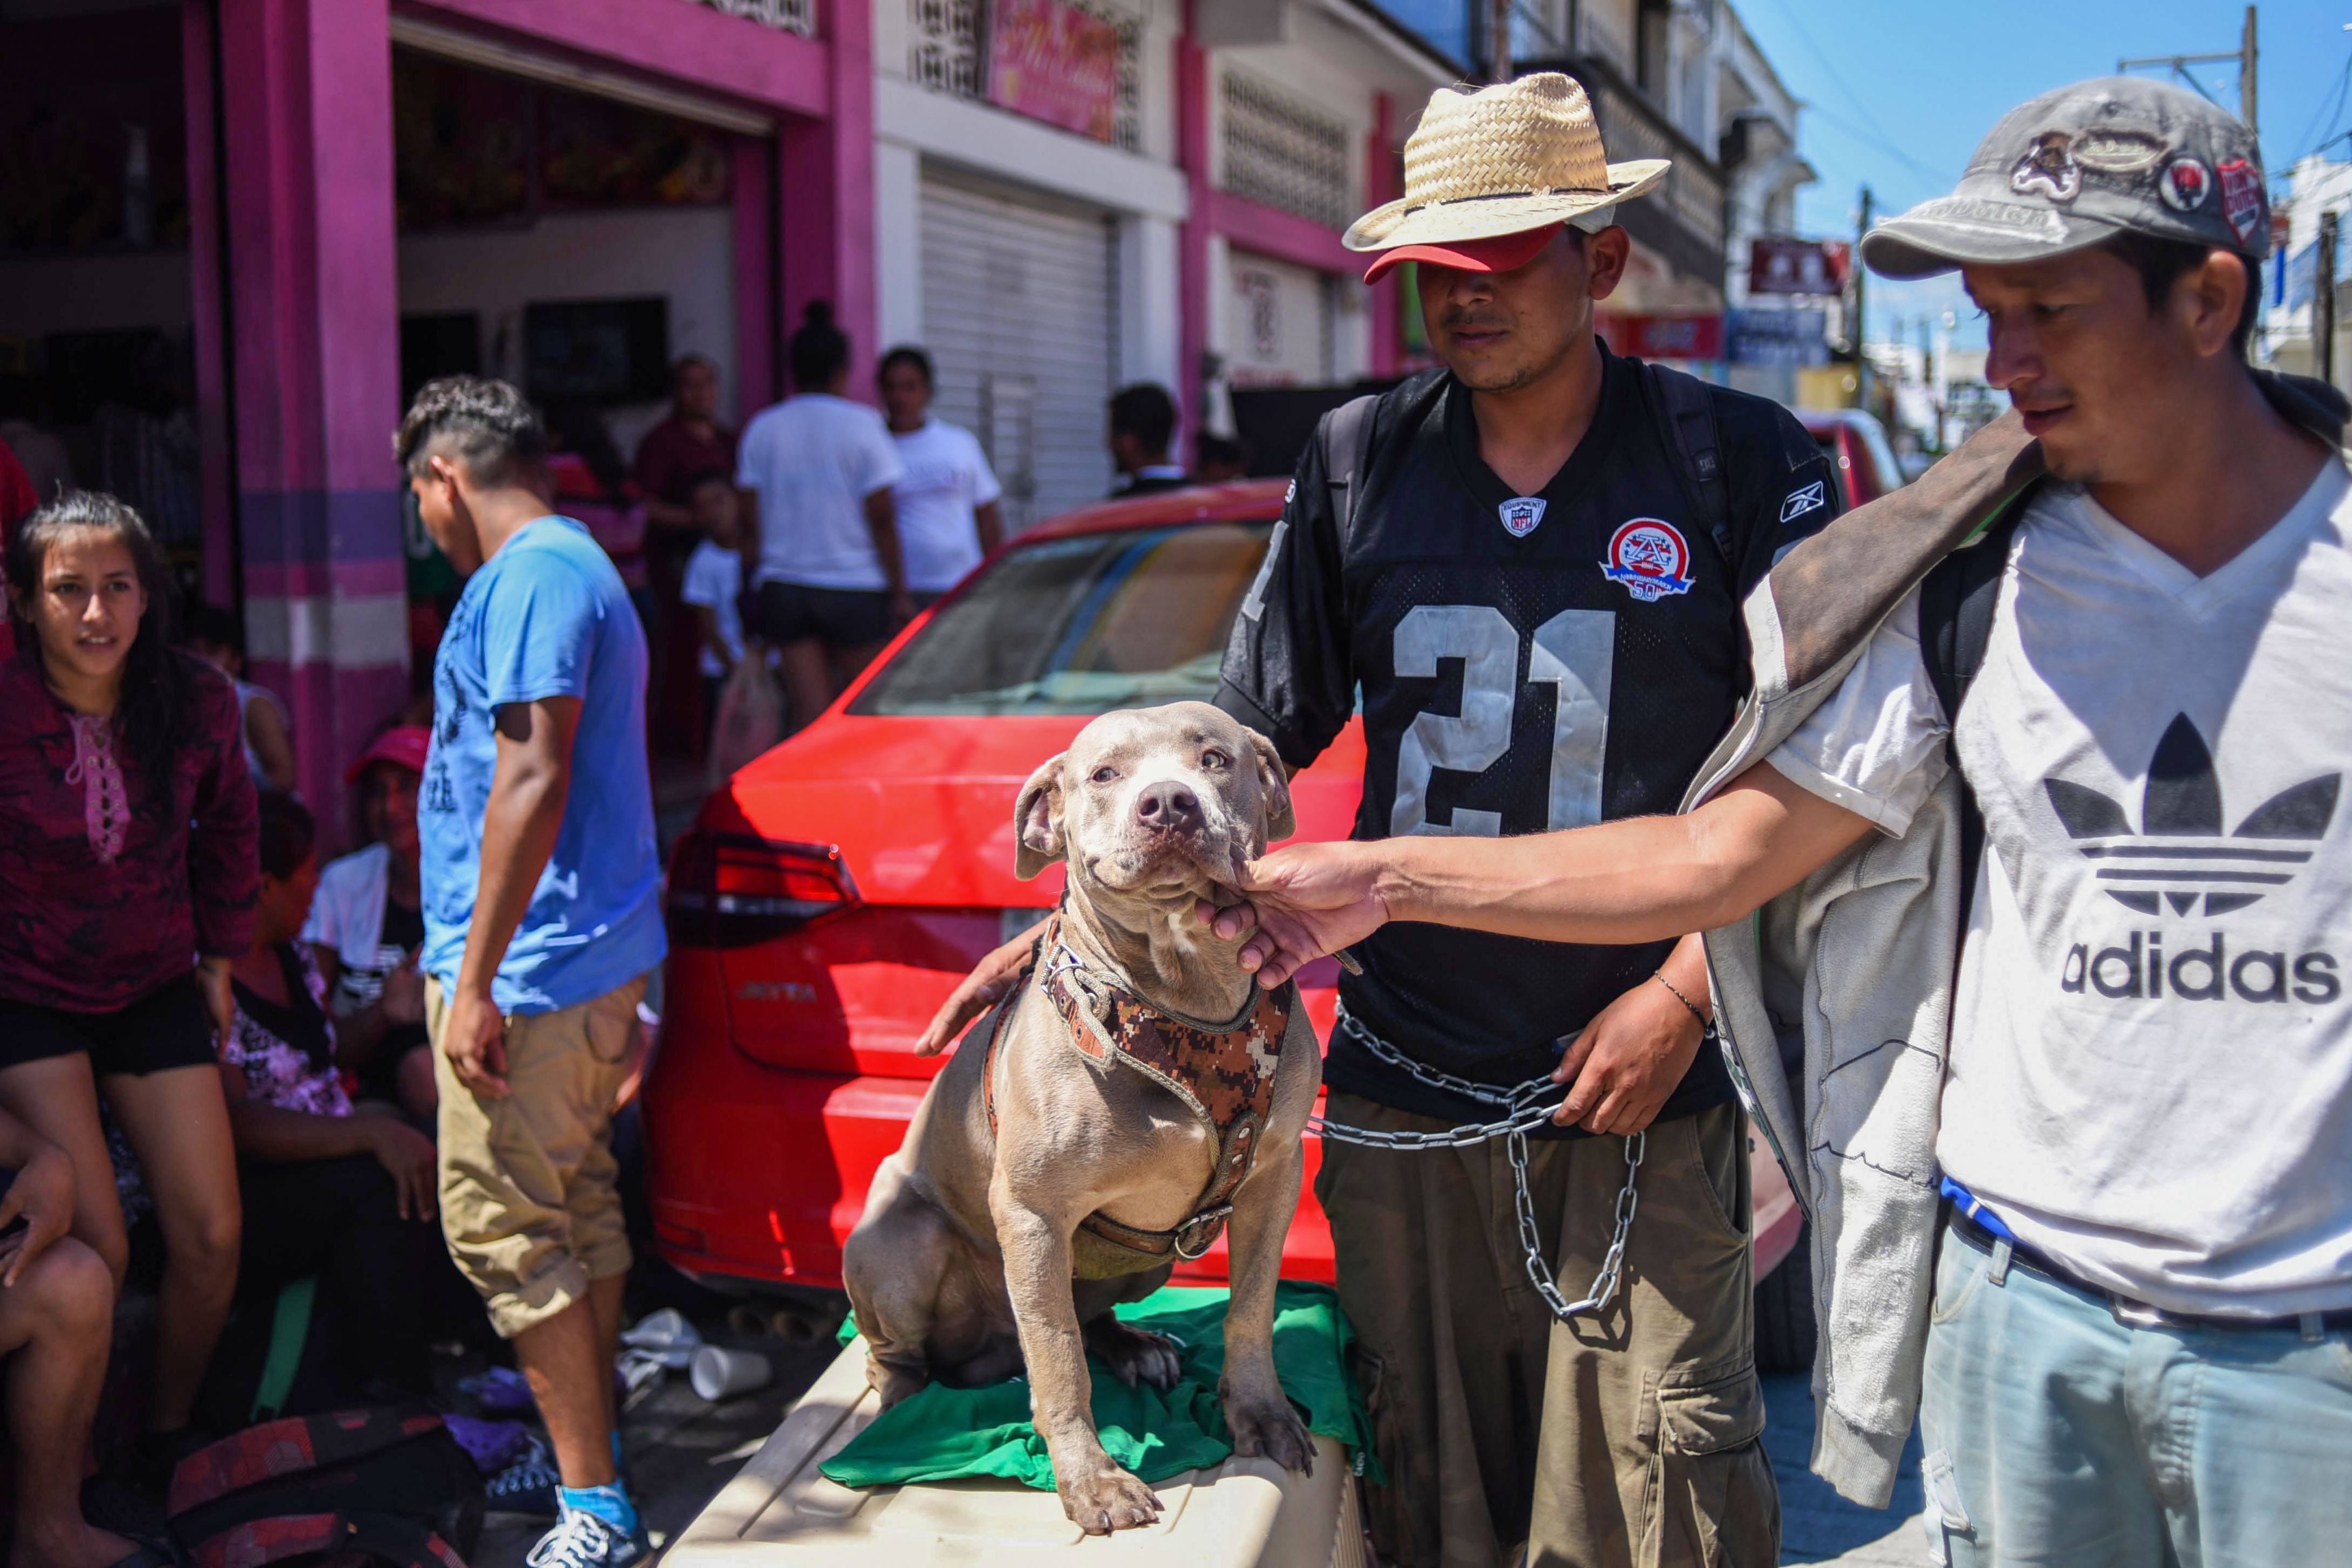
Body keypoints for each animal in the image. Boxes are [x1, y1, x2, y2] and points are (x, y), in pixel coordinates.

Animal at [842, 700, 1326, 1532]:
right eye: (1103, 774)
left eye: (1214, 758)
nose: (1168, 802)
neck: (1181, 996)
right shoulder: (1034, 1214)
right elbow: (1058, 1354)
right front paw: (1092, 1480)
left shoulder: (1273, 1176)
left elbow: (1251, 1306)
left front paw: (1259, 1414)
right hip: (897, 1242)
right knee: (904, 1353)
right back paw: (906, 1403)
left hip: (1143, 1261)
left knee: (1087, 1318)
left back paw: (1133, 1344)